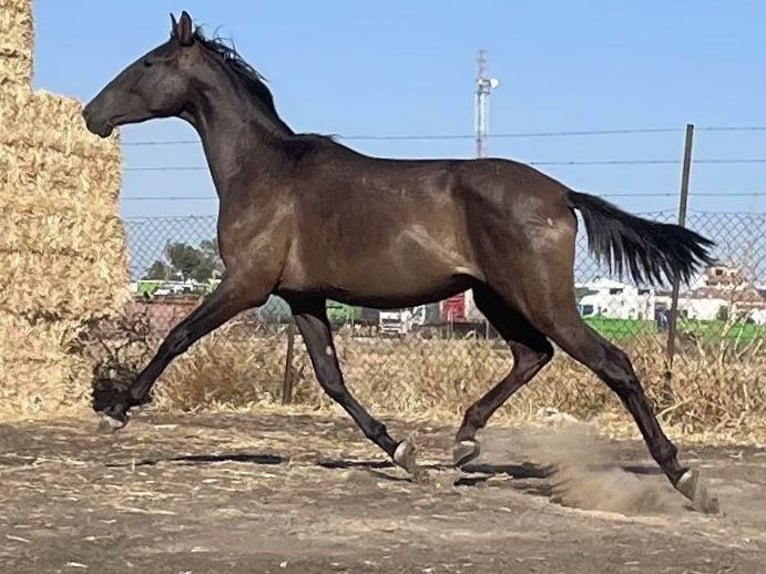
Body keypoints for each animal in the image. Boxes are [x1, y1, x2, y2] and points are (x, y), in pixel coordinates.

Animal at [82, 9, 720, 516]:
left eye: (147, 63)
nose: (92, 115)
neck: (265, 171)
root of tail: (563, 193)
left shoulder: (246, 284)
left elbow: (177, 337)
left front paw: (116, 408)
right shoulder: (303, 297)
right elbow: (331, 378)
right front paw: (404, 453)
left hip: (542, 297)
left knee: (612, 363)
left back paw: (687, 479)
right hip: (495, 296)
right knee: (532, 355)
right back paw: (464, 441)